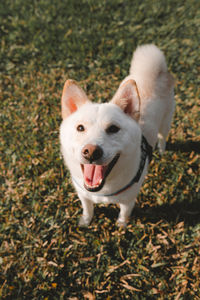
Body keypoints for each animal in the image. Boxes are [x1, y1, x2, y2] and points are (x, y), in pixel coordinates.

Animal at [59, 44, 173, 226]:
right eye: (80, 128)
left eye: (113, 129)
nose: (91, 152)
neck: (102, 191)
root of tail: (157, 72)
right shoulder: (83, 194)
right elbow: (87, 209)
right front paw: (85, 221)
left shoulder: (128, 200)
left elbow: (124, 213)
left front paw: (121, 226)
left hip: (166, 121)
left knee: (163, 136)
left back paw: (161, 151)